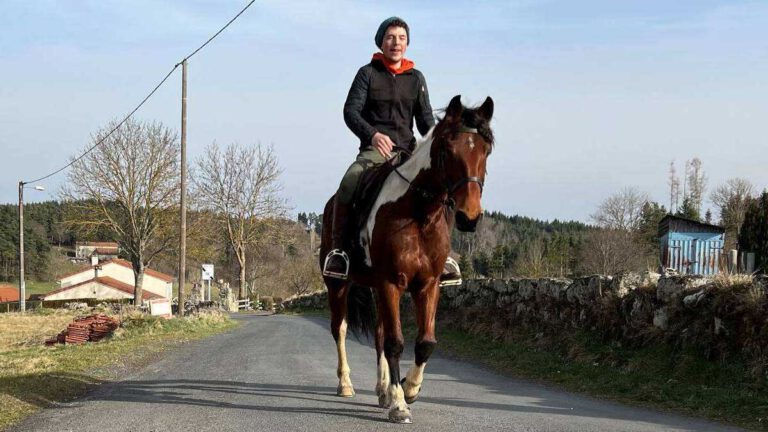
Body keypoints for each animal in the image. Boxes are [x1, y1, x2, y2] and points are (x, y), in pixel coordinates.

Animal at [320, 95, 496, 426]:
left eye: (486, 150)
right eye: (447, 149)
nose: (469, 217)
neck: (418, 213)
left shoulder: (428, 285)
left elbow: (425, 342)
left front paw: (408, 389)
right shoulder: (391, 283)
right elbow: (395, 342)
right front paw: (400, 404)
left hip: (375, 287)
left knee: (377, 333)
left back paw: (382, 390)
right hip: (338, 285)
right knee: (340, 329)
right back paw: (346, 384)